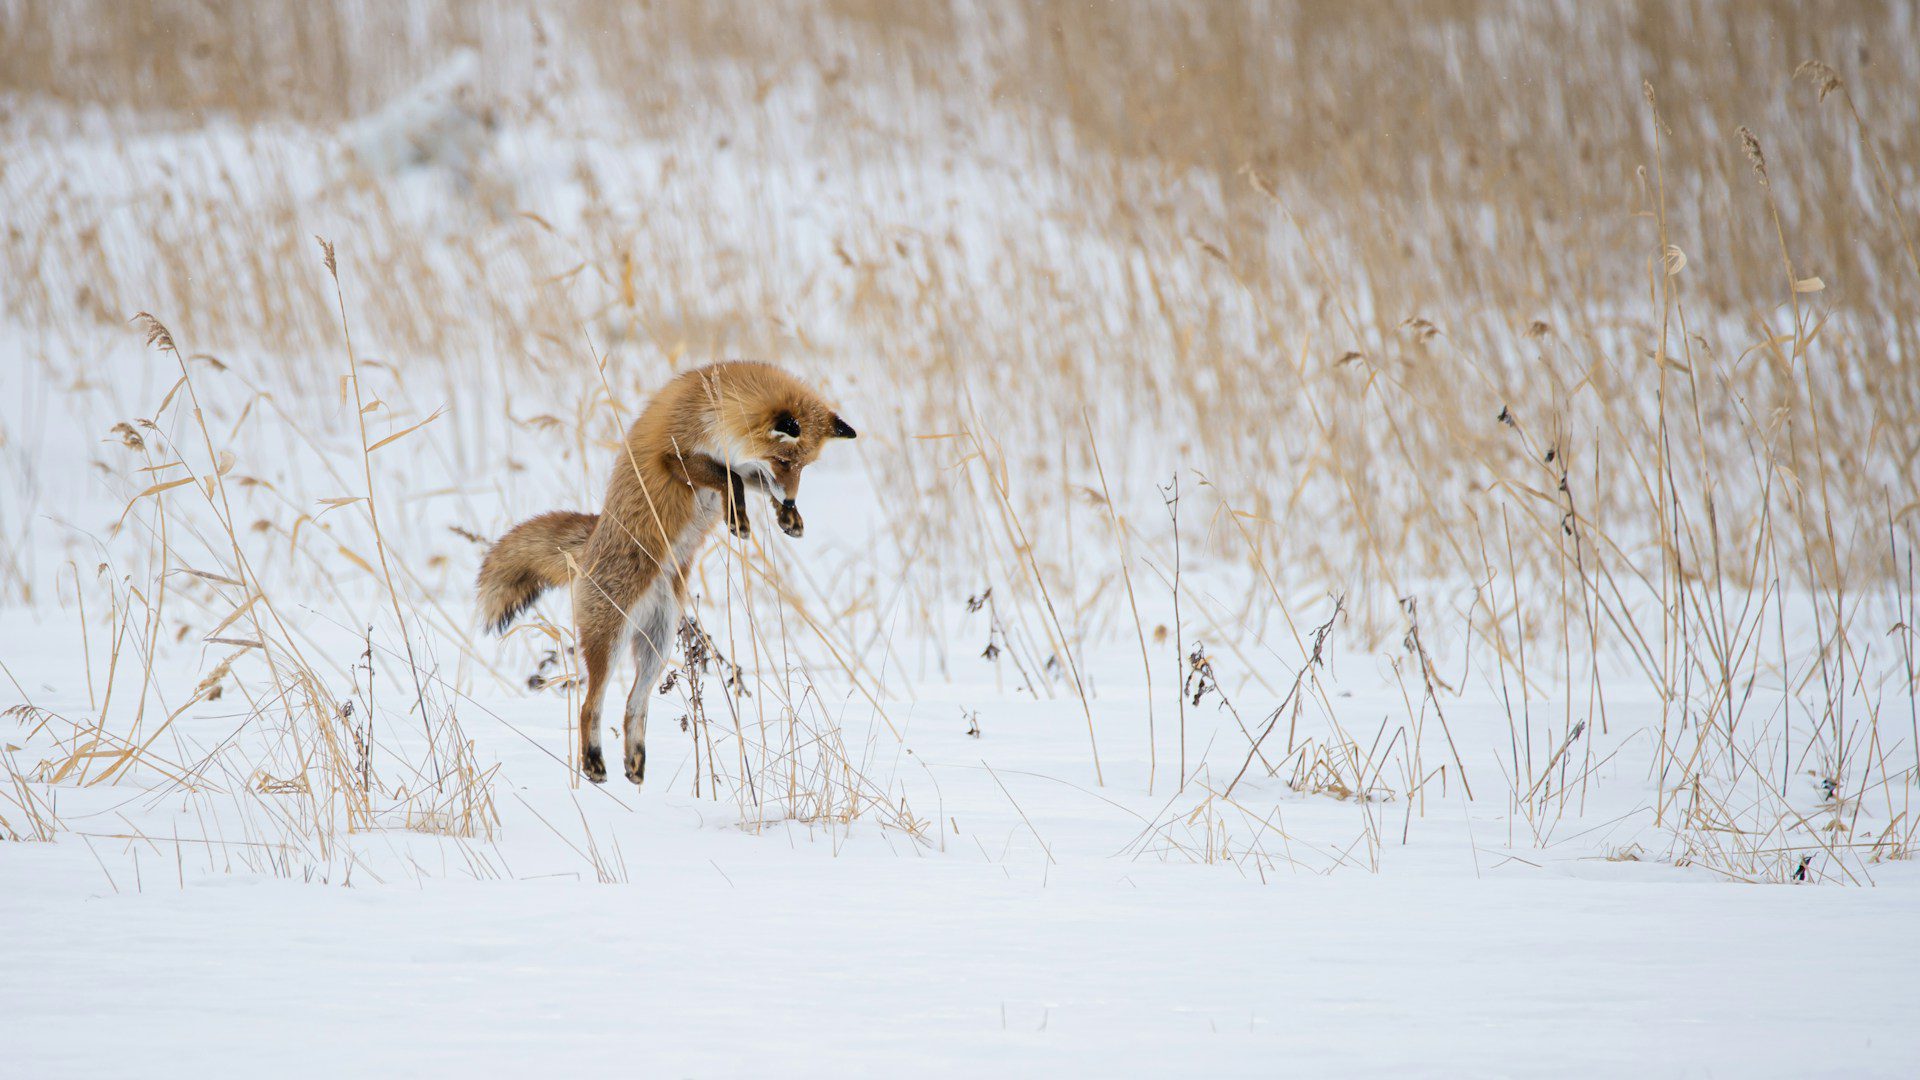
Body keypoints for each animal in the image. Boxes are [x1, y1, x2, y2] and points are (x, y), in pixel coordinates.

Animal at [476, 361, 855, 785]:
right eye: (785, 461)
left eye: (804, 466)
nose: (791, 499)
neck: (714, 408)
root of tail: (588, 546)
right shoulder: (675, 455)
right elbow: (729, 478)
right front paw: (740, 518)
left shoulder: (744, 464)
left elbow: (749, 482)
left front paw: (787, 517)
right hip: (610, 639)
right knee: (591, 705)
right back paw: (593, 763)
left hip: (657, 645)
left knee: (633, 704)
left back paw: (635, 764)